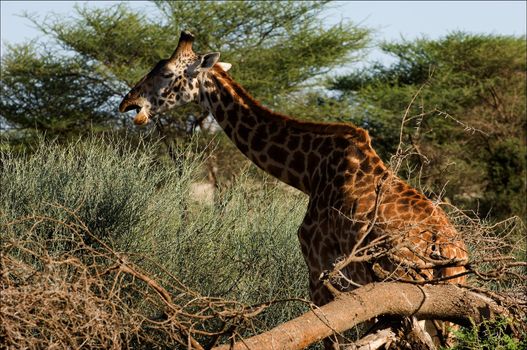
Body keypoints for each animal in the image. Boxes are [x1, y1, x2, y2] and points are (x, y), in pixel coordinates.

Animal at [119, 30, 470, 348]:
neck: (308, 172)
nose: (128, 103)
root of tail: (449, 250)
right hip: (444, 311)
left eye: (166, 72)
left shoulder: (318, 269)